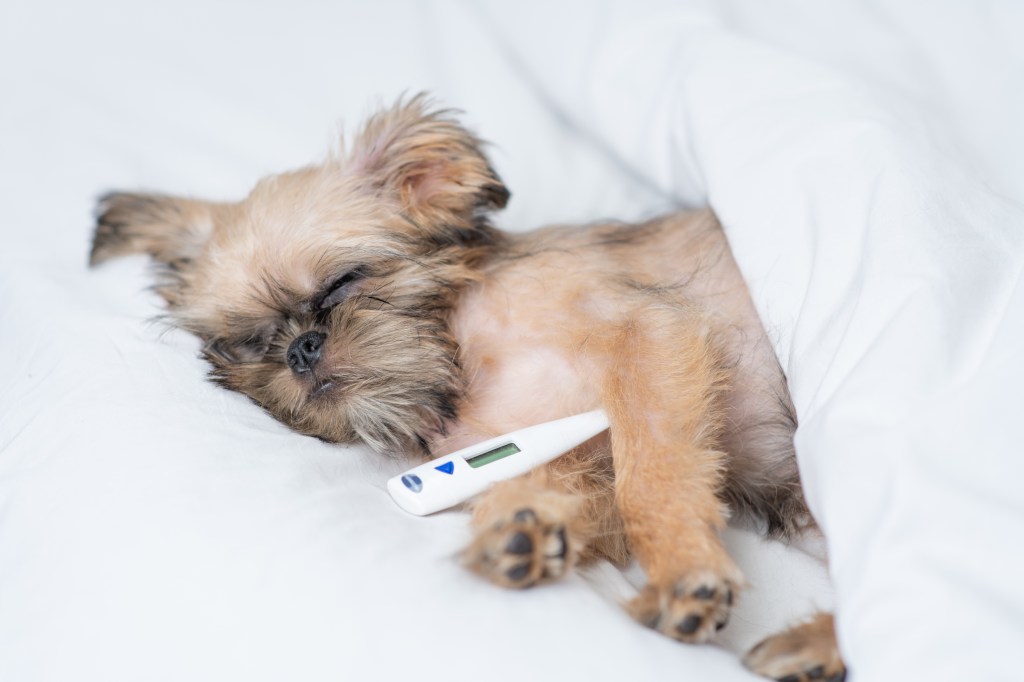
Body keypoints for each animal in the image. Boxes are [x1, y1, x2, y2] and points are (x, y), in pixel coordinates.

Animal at [88, 95, 843, 679]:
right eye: (247, 343)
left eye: (343, 283)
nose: (300, 347)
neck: (461, 364)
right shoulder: (559, 457)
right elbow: (578, 494)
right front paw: (526, 531)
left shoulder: (647, 339)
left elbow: (650, 478)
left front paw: (681, 571)